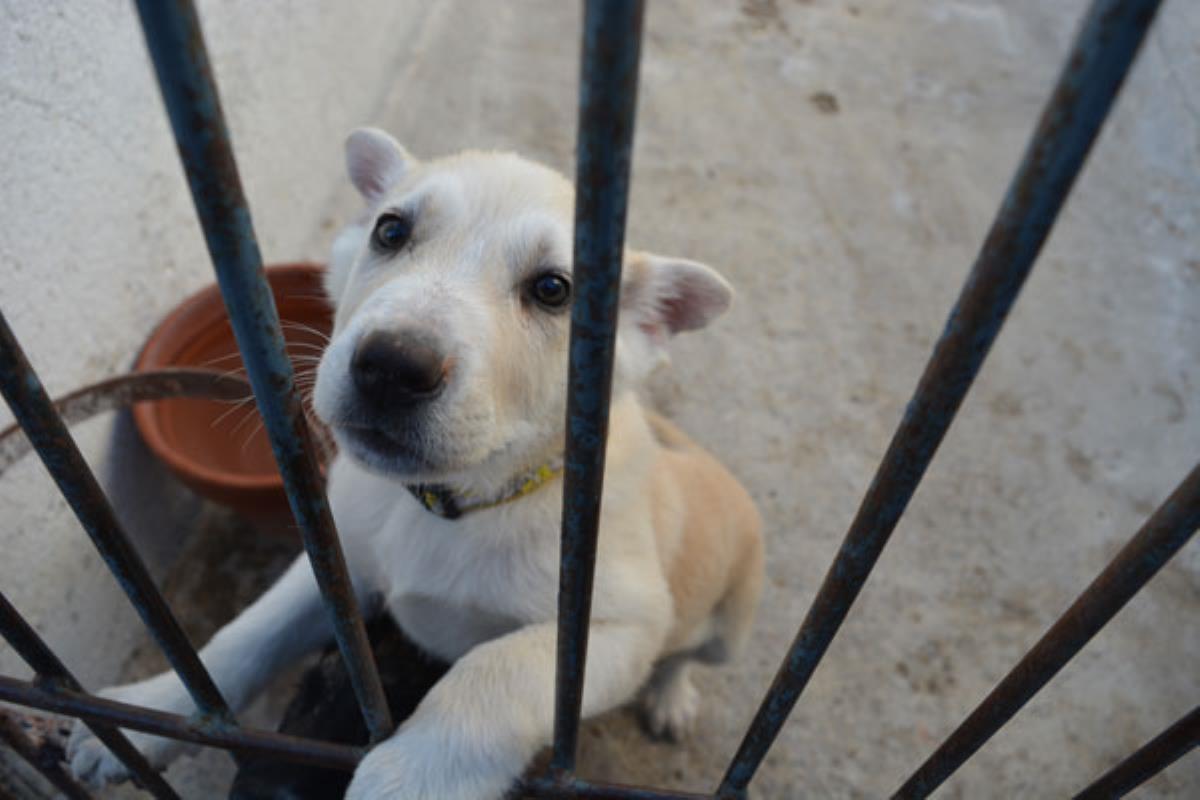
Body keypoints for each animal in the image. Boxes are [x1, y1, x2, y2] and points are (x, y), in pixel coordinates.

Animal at [68, 128, 758, 796]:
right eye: (391, 231)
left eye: (553, 290)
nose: (392, 368)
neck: (451, 502)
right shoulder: (339, 559)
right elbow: (250, 631)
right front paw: (164, 703)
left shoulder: (612, 630)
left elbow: (498, 669)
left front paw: (412, 775)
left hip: (728, 624)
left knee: (683, 656)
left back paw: (671, 700)